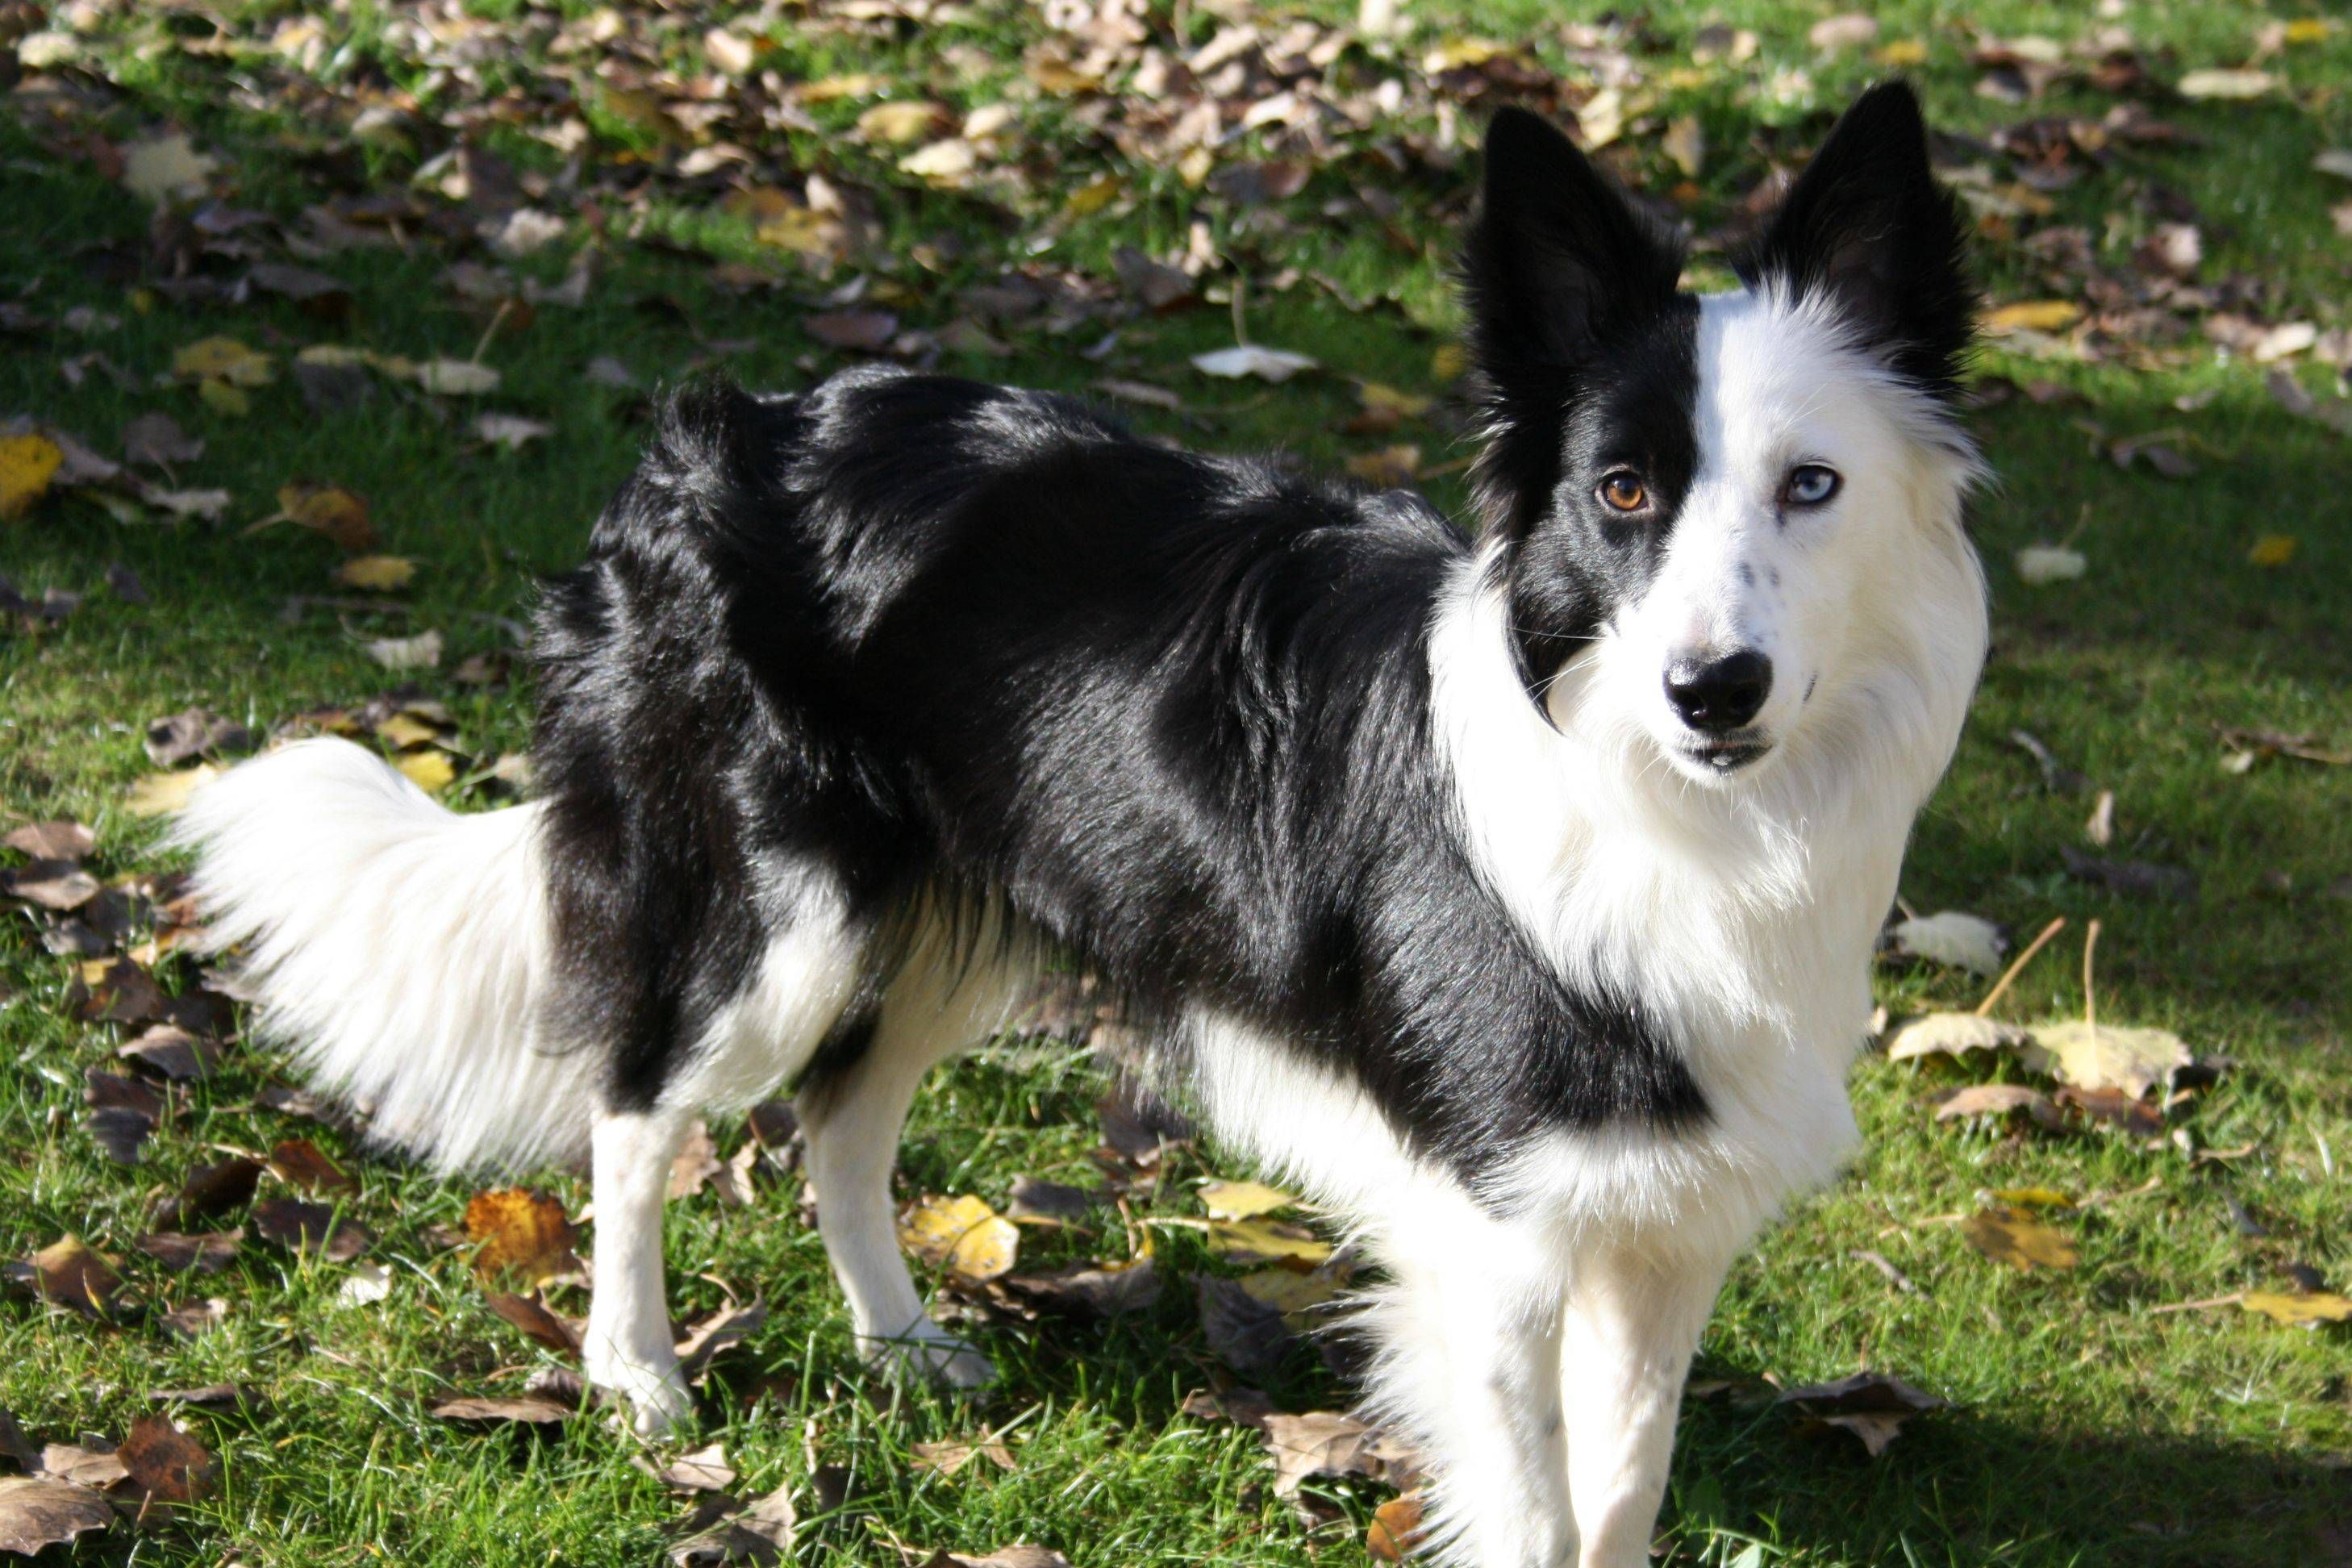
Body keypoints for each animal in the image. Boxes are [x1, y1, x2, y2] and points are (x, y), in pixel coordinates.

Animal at [183, 82, 1985, 1568]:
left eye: (1811, 486)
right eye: (1622, 493)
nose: (1713, 688)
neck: (1661, 799)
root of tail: (728, 429)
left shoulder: (1662, 1220)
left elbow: (1620, 1493)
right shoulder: (1502, 1226)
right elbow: (1543, 1513)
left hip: (944, 924)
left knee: (838, 1126)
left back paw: (900, 1344)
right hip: (775, 915)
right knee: (638, 1105)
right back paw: (637, 1375)